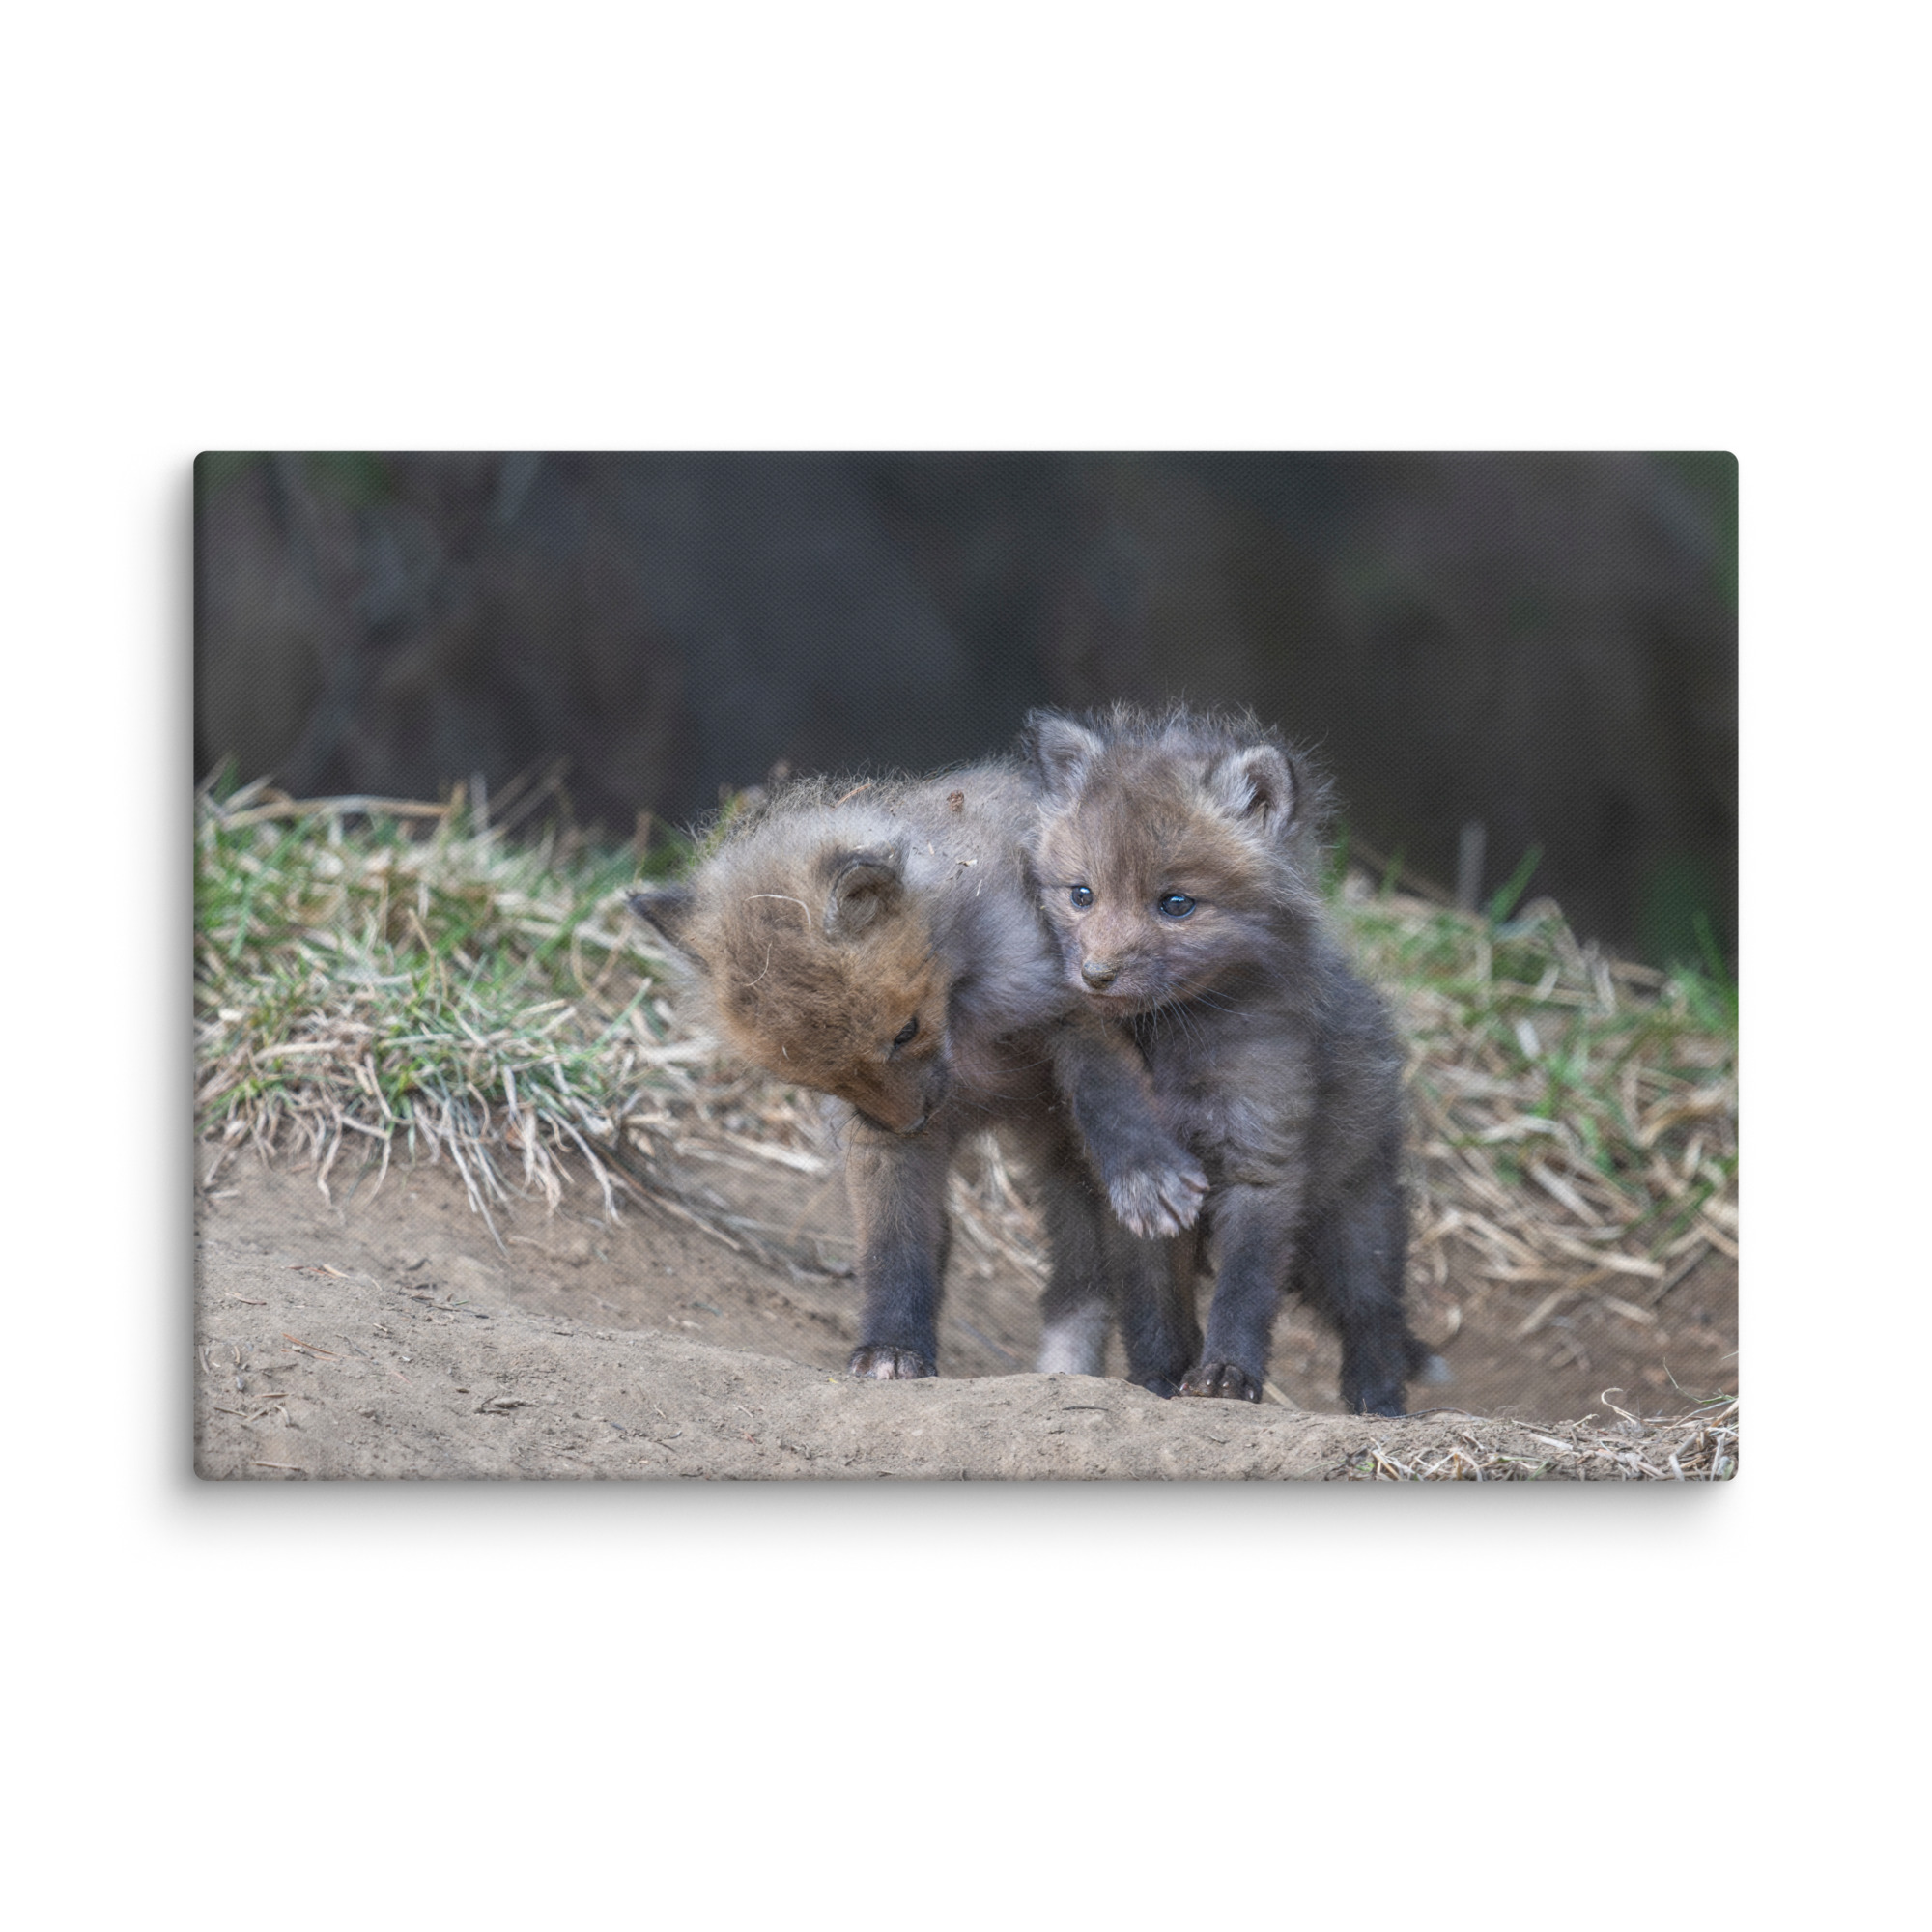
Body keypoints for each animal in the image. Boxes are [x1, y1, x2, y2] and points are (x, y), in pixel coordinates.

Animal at [627, 764, 1207, 1390]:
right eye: (820, 1079)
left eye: (905, 1032)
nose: (912, 1122)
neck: (967, 1026)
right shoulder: (875, 1138)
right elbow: (894, 1246)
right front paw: (893, 1347)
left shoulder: (1076, 1006)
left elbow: (1111, 1097)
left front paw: (1144, 1171)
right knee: (1076, 1282)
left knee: (1142, 1283)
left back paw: (1163, 1376)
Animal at [1022, 705, 1428, 1416]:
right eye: (1081, 895)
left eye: (1176, 904)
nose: (1095, 975)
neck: (1174, 1044)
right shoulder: (1136, 1196)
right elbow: (1153, 1304)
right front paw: (1157, 1380)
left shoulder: (1261, 1160)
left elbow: (1244, 1291)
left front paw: (1226, 1377)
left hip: (1355, 1227)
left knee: (1375, 1318)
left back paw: (1379, 1408)